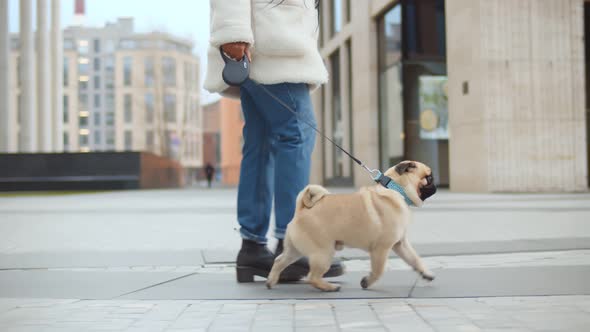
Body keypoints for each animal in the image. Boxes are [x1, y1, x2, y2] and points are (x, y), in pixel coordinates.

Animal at [266, 162, 438, 292]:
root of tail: (301, 210)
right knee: (312, 277)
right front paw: (367, 282)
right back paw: (329, 287)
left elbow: (414, 259)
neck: (395, 188)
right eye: (428, 177)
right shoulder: (381, 248)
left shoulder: (400, 244)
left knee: (280, 260)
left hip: (295, 250)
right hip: (323, 253)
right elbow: (379, 270)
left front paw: (426, 273)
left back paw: (271, 281)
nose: (436, 183)